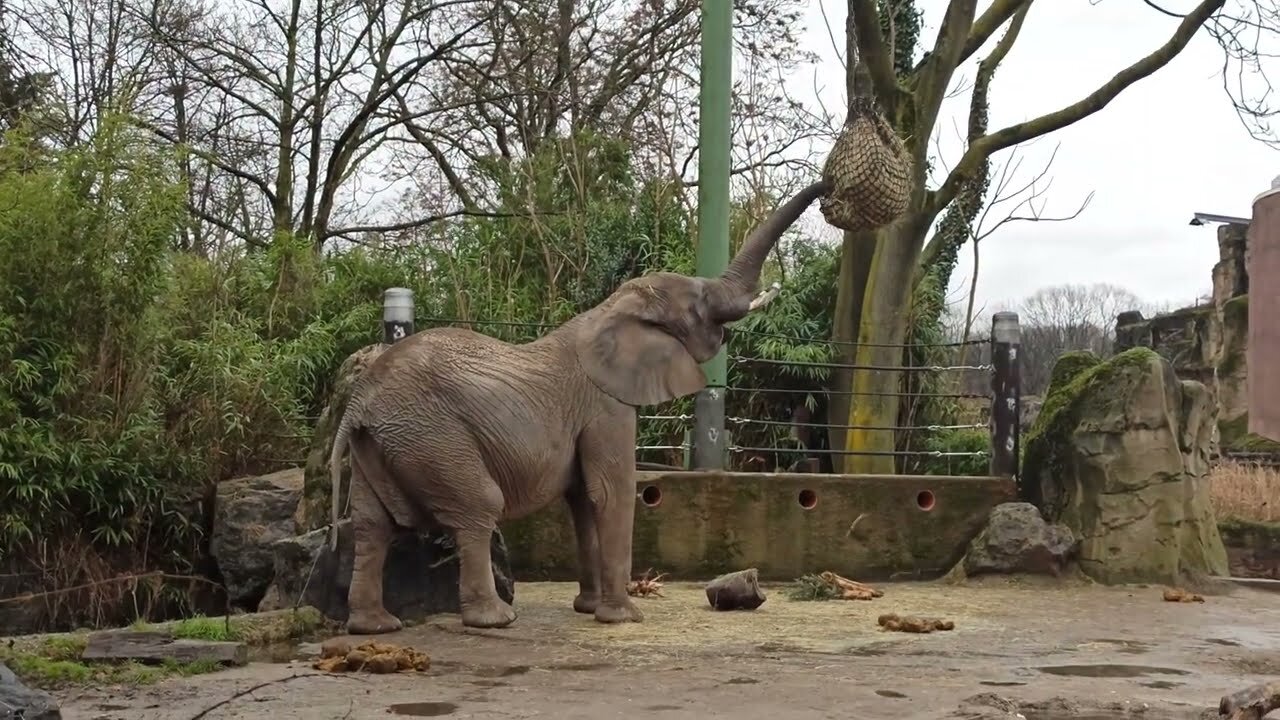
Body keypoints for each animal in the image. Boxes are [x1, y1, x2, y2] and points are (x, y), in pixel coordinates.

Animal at [330, 180, 829, 632]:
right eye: (700, 301)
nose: (827, 186)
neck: (611, 310)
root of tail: (359, 403)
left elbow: (583, 500)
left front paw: (589, 610)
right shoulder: (607, 406)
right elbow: (611, 492)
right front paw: (624, 618)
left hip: (384, 442)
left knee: (371, 525)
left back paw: (375, 627)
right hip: (432, 435)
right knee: (478, 507)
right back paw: (495, 620)